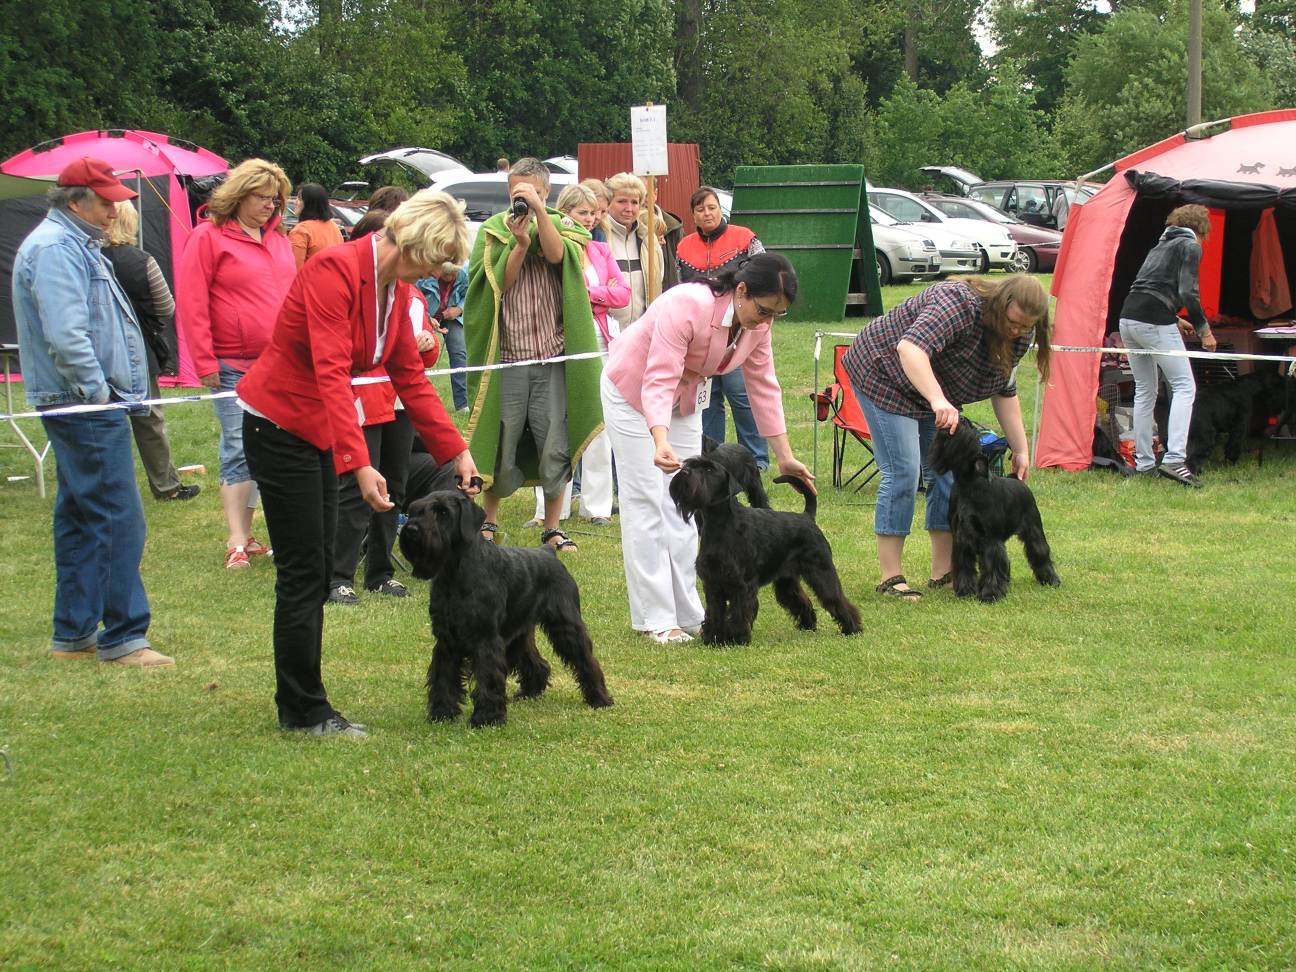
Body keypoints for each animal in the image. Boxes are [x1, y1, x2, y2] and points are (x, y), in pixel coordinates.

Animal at [399, 495, 611, 730]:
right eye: (415, 510)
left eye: (443, 512)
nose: (411, 529)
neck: (454, 573)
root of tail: (548, 553)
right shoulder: (446, 640)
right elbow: (443, 677)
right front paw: (442, 713)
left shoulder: (486, 640)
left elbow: (488, 677)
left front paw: (487, 718)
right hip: (518, 635)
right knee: (537, 663)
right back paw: (529, 692)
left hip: (566, 626)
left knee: (585, 660)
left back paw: (599, 698)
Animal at [668, 456, 860, 648]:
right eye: (690, 464)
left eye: (709, 470)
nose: (684, 471)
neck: (721, 524)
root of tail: (807, 517)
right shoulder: (713, 584)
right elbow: (714, 613)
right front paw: (713, 639)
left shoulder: (742, 585)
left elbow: (738, 612)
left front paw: (737, 639)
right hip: (786, 581)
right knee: (800, 600)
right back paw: (808, 626)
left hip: (821, 572)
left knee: (836, 599)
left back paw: (852, 629)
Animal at [933, 419, 1062, 606]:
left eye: (970, 430)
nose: (957, 420)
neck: (968, 484)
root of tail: (1018, 480)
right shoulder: (961, 539)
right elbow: (964, 566)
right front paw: (965, 591)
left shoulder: (991, 540)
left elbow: (992, 567)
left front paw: (990, 594)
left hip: (1034, 530)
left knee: (1040, 553)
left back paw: (1051, 580)